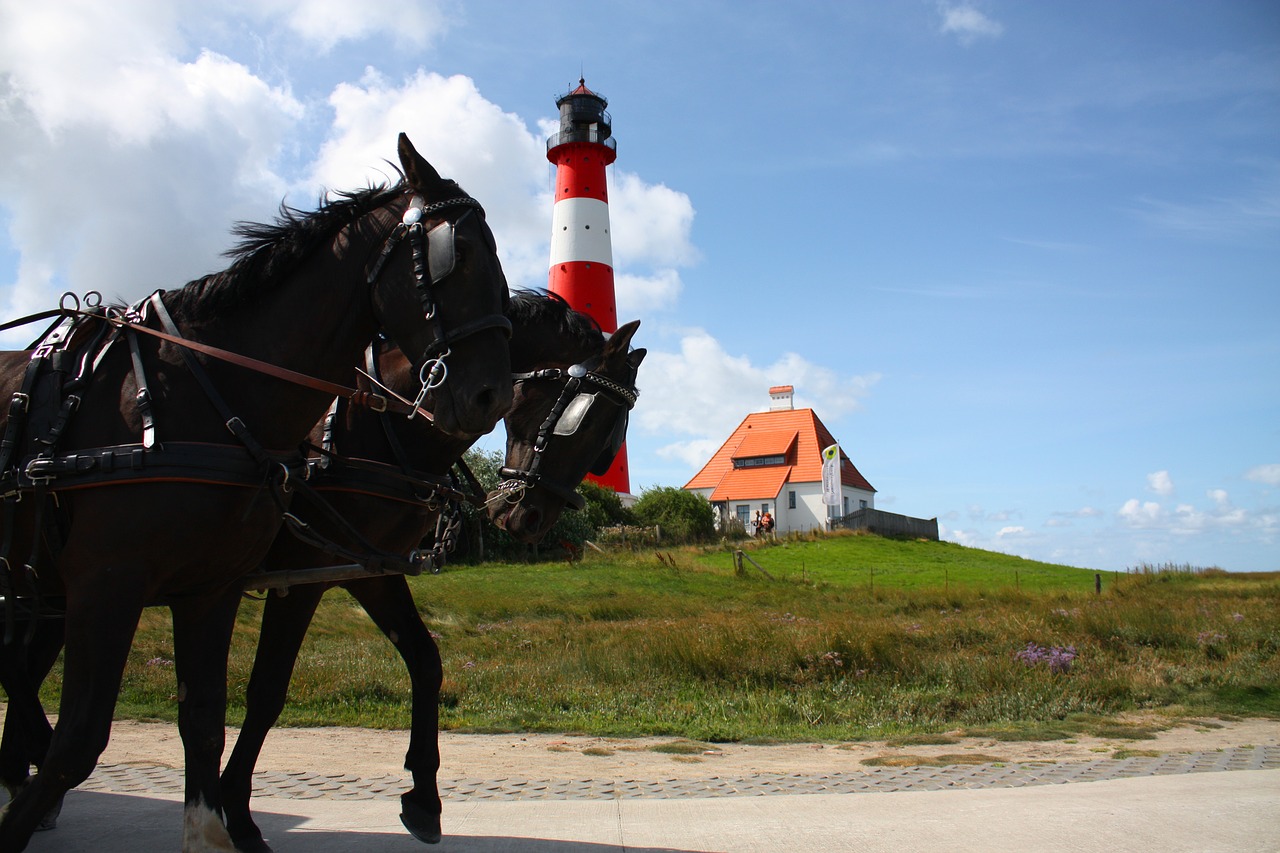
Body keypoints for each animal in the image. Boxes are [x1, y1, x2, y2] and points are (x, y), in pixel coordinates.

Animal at [0, 136, 509, 845]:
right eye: (454, 253)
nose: (493, 396)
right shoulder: (112, 583)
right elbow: (86, 738)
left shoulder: (231, 584)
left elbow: (209, 718)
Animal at [215, 290, 645, 845]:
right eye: (587, 423)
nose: (532, 519)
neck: (376, 426)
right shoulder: (299, 578)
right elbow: (267, 690)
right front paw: (236, 810)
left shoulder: (373, 571)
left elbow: (425, 661)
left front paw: (423, 797)